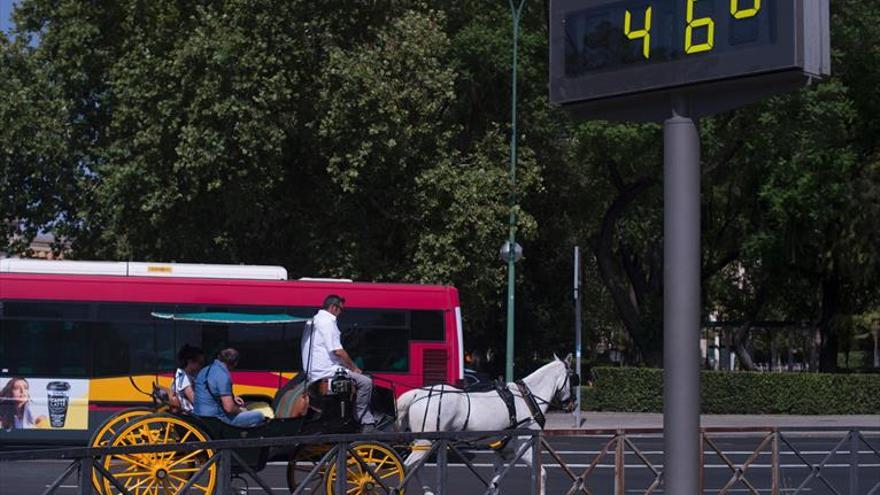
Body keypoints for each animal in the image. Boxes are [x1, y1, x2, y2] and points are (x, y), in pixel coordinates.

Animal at [398, 354, 576, 494]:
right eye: (574, 379)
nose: (572, 404)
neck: (527, 398)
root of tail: (417, 393)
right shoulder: (524, 445)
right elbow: (541, 473)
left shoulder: (501, 451)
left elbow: (495, 483)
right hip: (426, 442)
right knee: (408, 466)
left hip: (424, 443)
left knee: (416, 467)